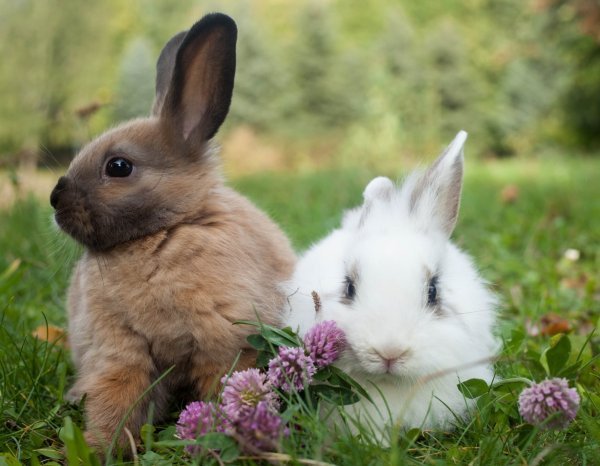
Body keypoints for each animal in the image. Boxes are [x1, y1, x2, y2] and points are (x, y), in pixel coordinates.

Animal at [49, 13, 296, 452]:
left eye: (118, 166)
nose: (54, 199)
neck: (161, 233)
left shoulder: (226, 346)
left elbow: (223, 387)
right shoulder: (120, 352)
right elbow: (117, 399)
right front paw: (99, 447)